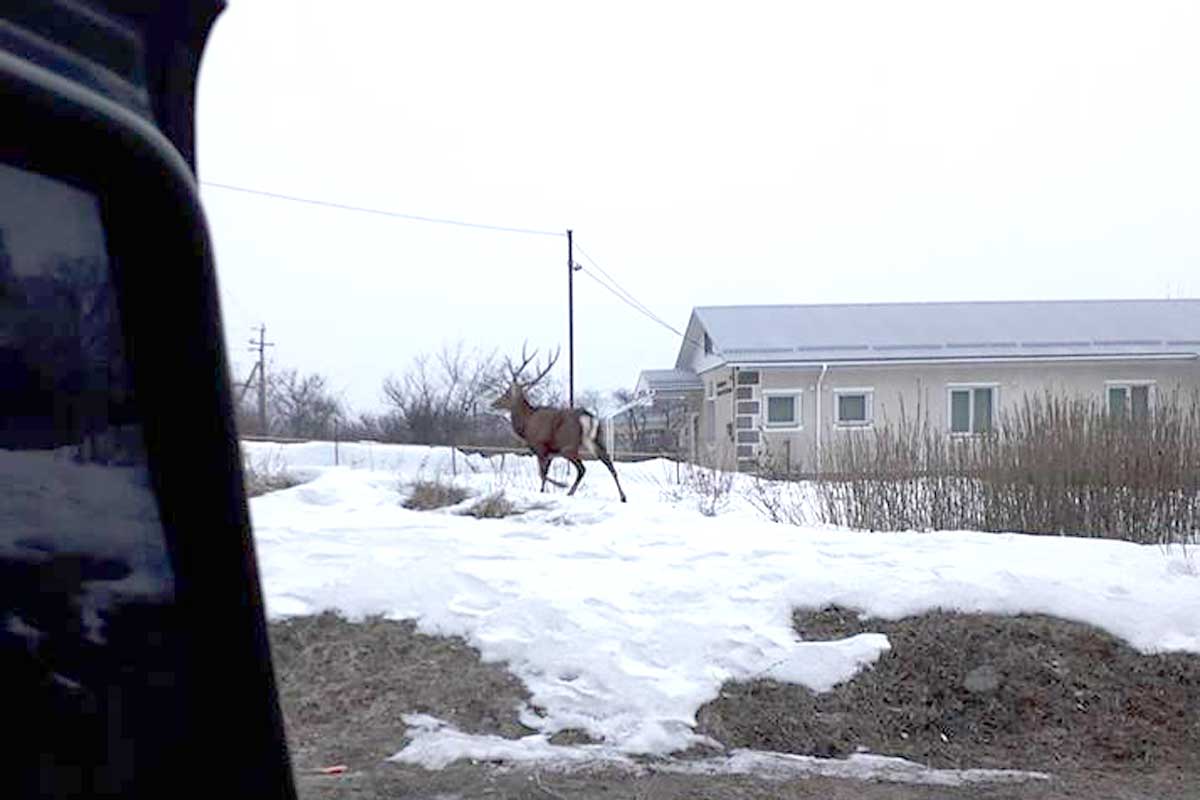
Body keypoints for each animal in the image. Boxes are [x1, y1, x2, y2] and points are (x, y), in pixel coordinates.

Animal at [487, 345, 628, 501]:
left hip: (568, 446)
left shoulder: (540, 447)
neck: (526, 425)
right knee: (608, 462)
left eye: (507, 394)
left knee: (582, 468)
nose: (493, 403)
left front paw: (556, 486)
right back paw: (623, 496)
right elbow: (544, 473)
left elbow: (542, 473)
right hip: (595, 440)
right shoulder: (549, 454)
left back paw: (569, 491)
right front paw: (545, 490)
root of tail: (587, 417)